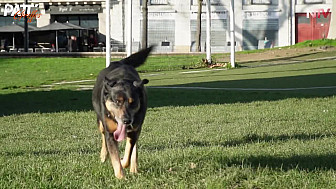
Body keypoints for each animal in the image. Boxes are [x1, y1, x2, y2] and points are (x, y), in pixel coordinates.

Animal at [92, 47, 152, 179]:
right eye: (117, 101)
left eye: (132, 102)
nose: (126, 120)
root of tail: (119, 62)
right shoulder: (110, 132)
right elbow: (114, 156)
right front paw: (121, 177)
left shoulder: (134, 130)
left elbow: (128, 153)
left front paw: (124, 162)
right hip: (100, 122)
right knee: (103, 136)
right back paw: (103, 155)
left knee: (134, 148)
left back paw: (134, 168)